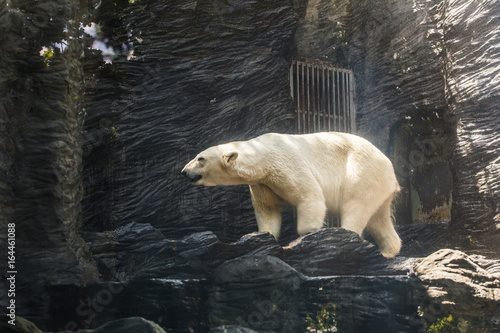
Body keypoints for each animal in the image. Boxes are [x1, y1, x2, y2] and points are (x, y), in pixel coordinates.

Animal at [182, 132, 400, 256]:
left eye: (200, 158)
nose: (184, 171)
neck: (261, 157)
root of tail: (390, 166)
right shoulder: (263, 183)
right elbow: (268, 210)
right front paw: (263, 235)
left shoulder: (285, 165)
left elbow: (310, 196)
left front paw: (307, 234)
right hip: (378, 184)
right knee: (378, 218)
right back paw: (389, 251)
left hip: (362, 172)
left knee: (356, 206)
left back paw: (347, 234)